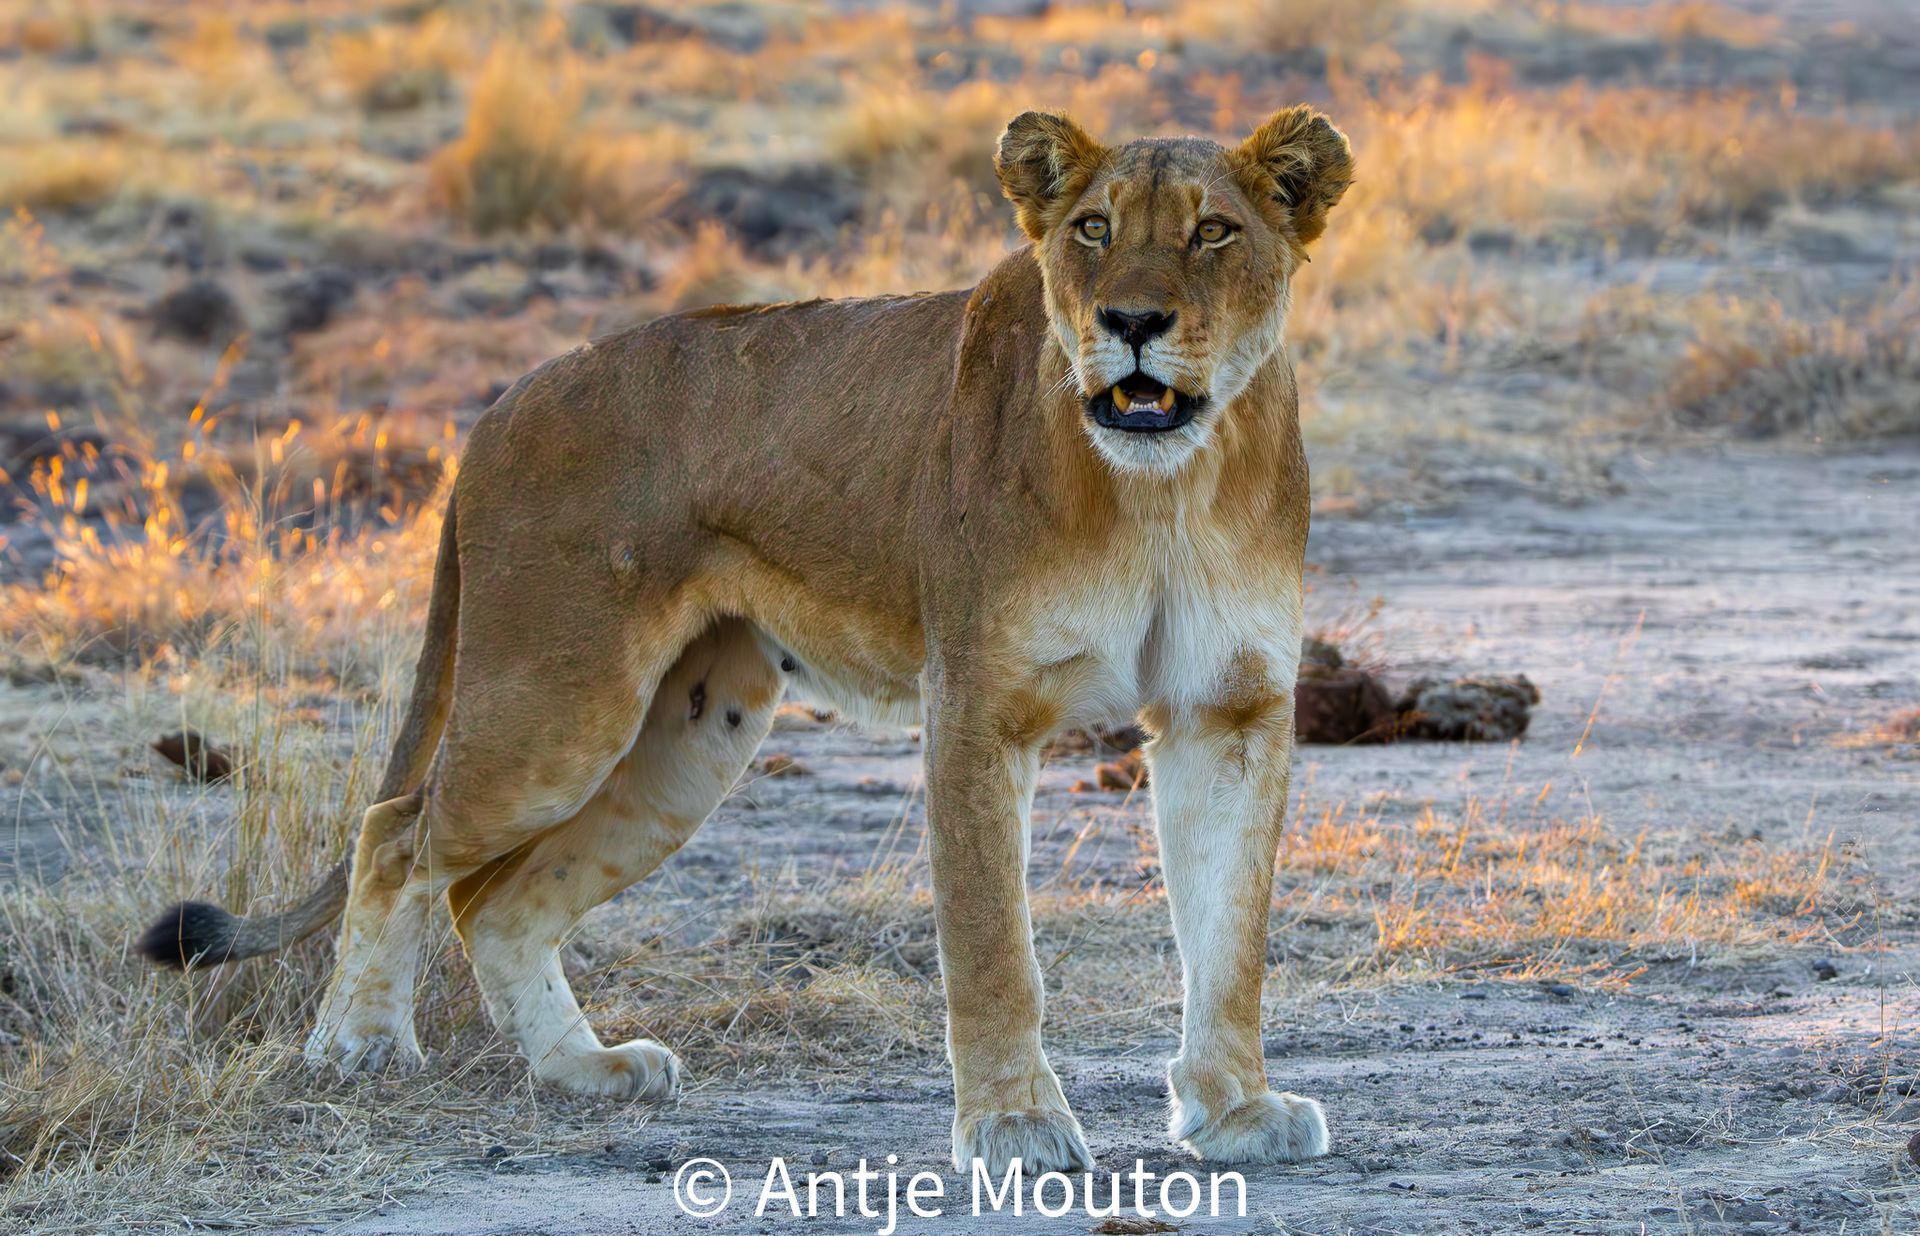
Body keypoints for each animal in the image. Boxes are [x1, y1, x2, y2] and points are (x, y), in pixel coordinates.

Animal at [137, 105, 1354, 1174]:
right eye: (1093, 230)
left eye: (1213, 232)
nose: (1132, 324)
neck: (1165, 489)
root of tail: (500, 405)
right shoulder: (979, 705)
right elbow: (993, 949)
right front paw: (1014, 1127)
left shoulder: (1228, 711)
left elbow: (1230, 935)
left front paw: (1236, 1111)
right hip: (557, 708)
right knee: (395, 832)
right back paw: (356, 1045)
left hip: (687, 742)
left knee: (495, 900)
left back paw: (584, 1068)